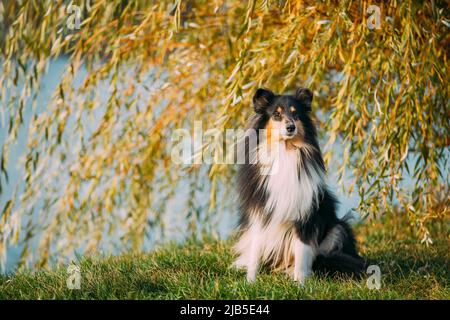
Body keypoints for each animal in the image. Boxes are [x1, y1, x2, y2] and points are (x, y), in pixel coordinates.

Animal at [234, 87, 364, 282]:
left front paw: (300, 283)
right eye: (277, 114)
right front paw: (250, 282)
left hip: (338, 229)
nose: (291, 127)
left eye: (296, 114)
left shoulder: (304, 215)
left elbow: (302, 252)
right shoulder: (260, 210)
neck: (285, 151)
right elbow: (255, 252)